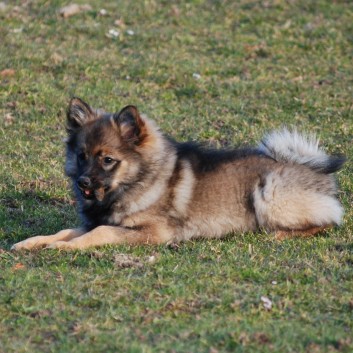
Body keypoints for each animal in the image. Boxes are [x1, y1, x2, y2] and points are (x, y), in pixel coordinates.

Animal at [11, 97, 344, 250]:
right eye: (81, 156)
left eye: (107, 159)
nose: (82, 182)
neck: (137, 181)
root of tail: (313, 168)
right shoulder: (93, 221)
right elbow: (65, 231)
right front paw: (32, 243)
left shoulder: (152, 232)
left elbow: (99, 232)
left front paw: (60, 248)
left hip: (268, 194)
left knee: (328, 221)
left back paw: (280, 234)